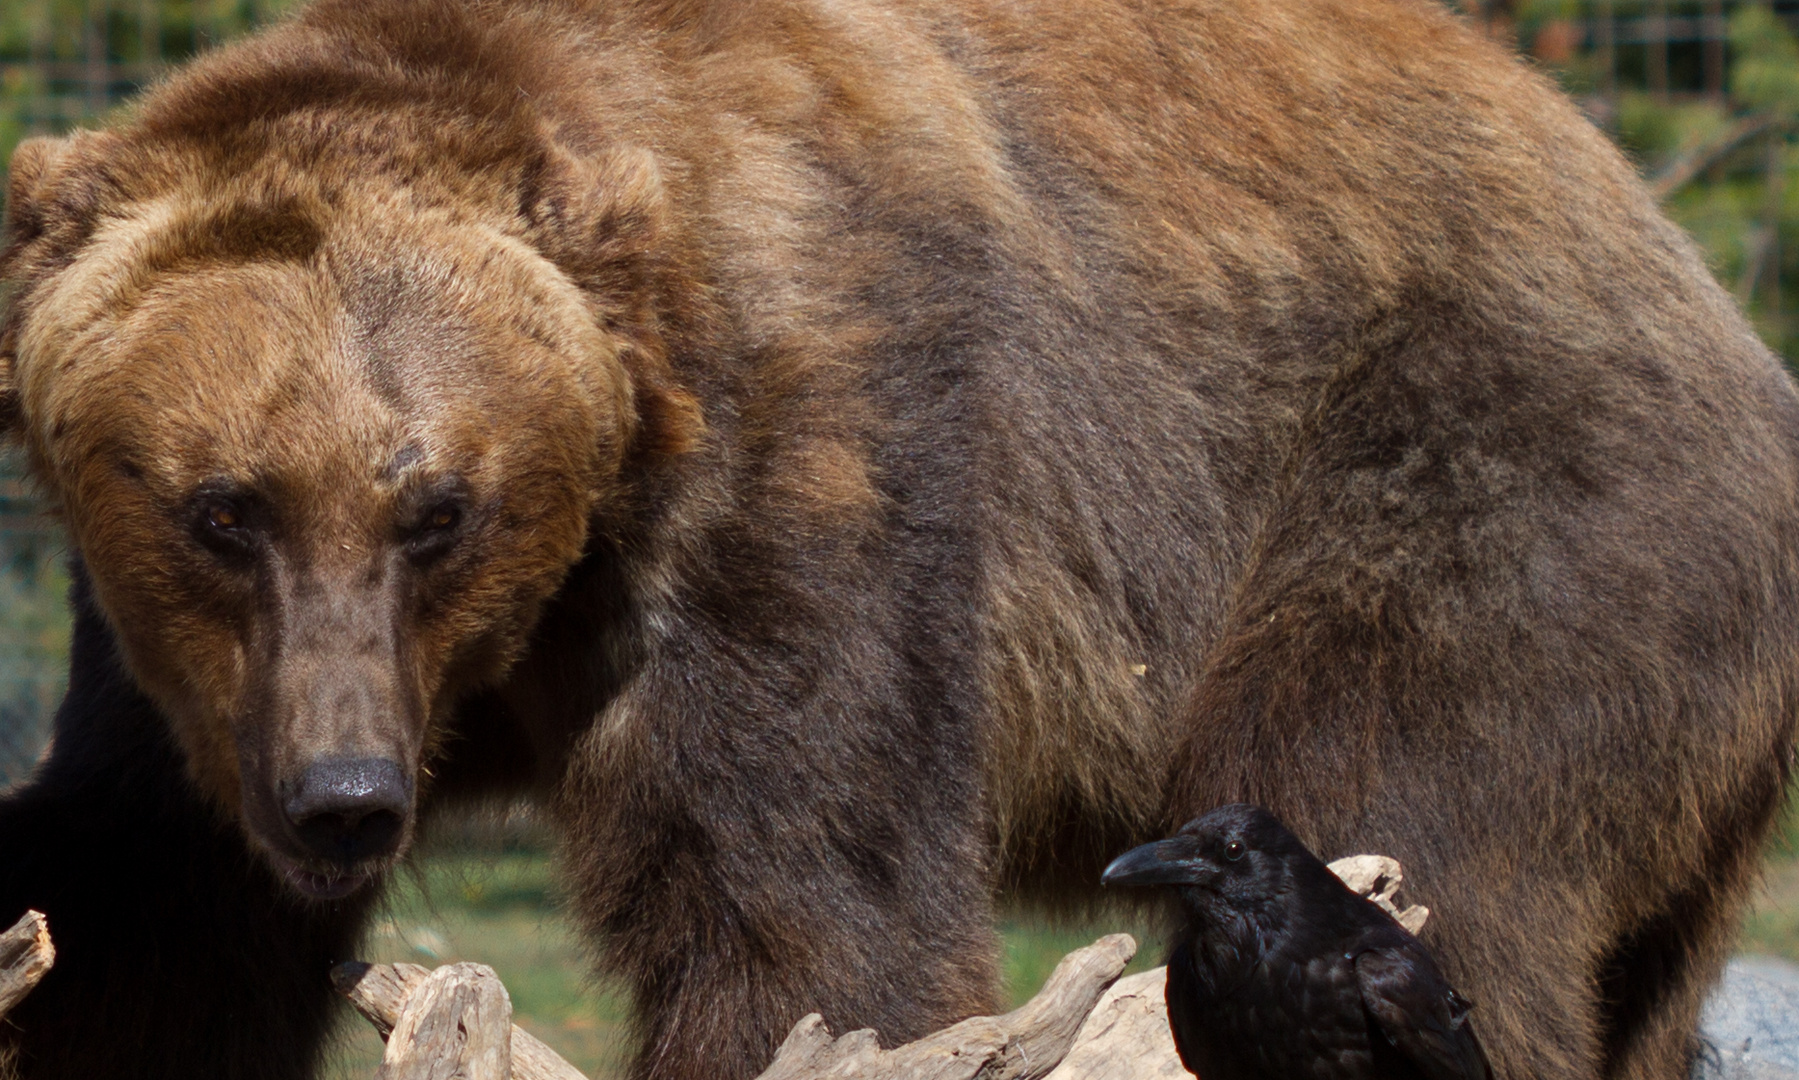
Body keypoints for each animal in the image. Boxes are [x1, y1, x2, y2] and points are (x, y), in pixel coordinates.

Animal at [3, 2, 1799, 1080]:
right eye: (221, 507)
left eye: (438, 507)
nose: (347, 798)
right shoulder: (186, 691)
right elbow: (147, 906)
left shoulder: (810, 452)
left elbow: (805, 908)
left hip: (1482, 493)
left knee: (1396, 819)